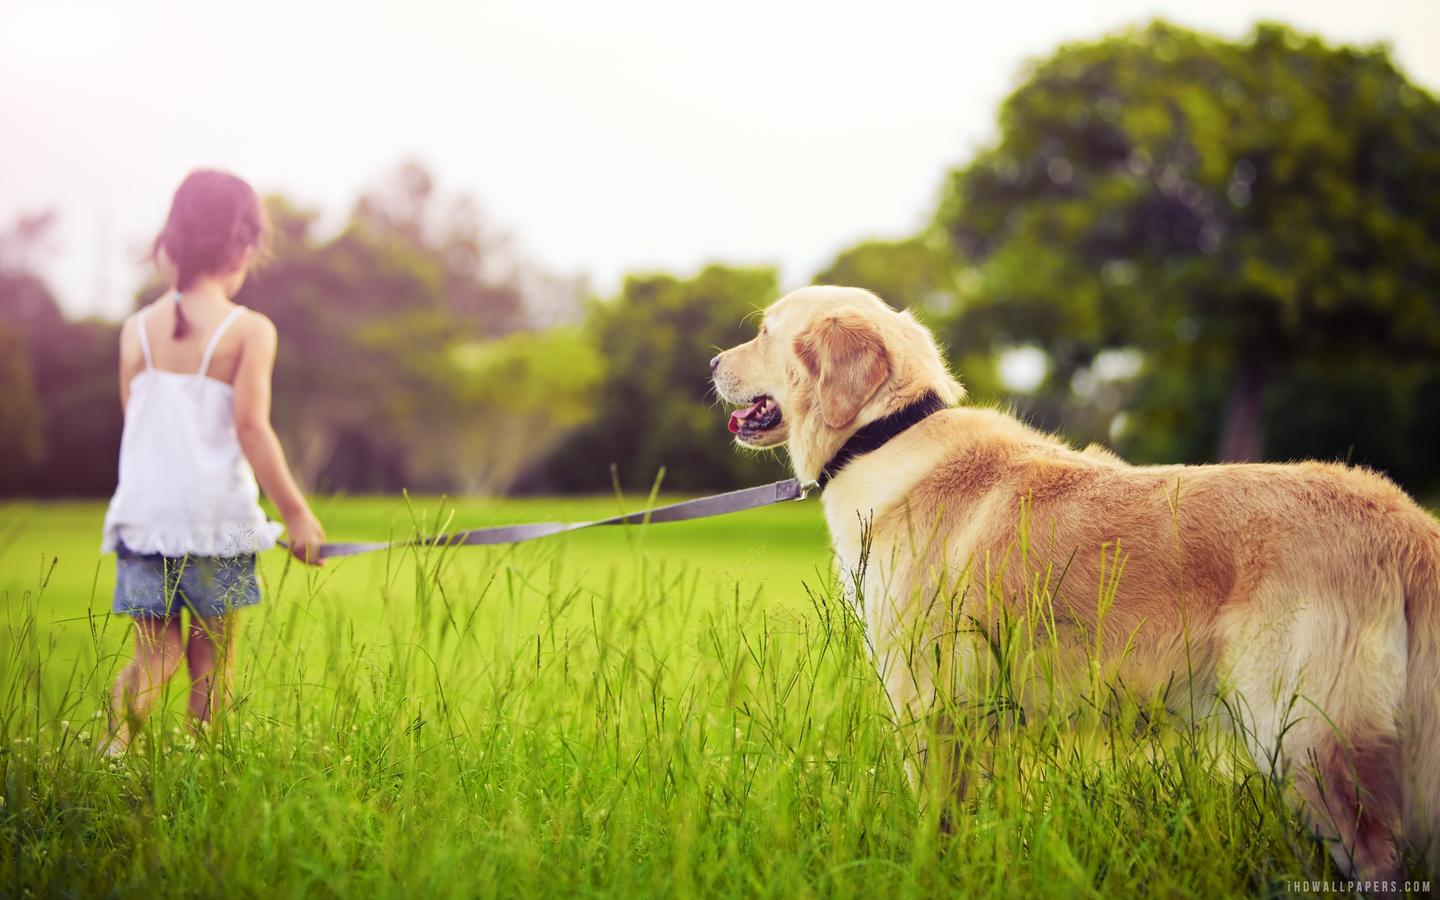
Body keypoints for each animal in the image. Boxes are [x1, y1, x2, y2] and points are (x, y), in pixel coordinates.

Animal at [708, 286, 1440, 875]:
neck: (883, 435)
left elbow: (935, 818)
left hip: (1307, 739)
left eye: (766, 331)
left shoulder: (929, 700)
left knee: (1378, 854)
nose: (711, 364)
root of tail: (1406, 522)